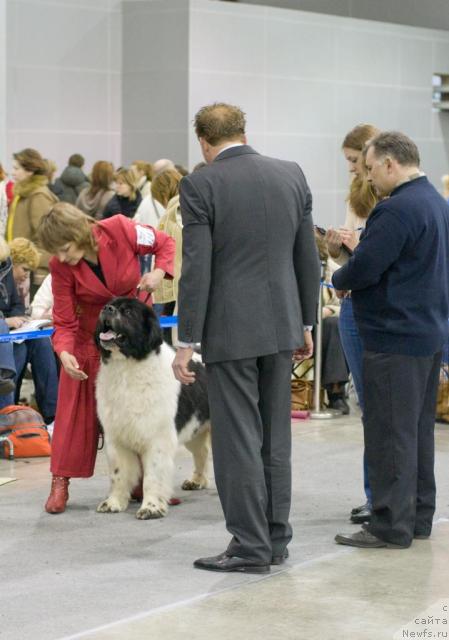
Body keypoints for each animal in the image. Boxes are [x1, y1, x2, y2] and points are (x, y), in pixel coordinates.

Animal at [94, 298, 210, 520]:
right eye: (110, 304)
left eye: (128, 312)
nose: (106, 309)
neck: (128, 366)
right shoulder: (117, 438)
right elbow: (118, 474)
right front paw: (113, 503)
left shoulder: (157, 439)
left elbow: (152, 476)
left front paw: (151, 507)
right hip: (195, 429)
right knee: (202, 451)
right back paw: (197, 481)